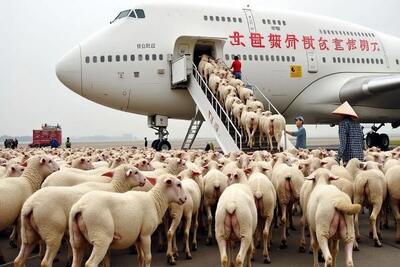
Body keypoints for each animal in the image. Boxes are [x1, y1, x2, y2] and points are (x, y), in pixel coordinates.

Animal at [13, 165, 147, 267]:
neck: (115, 188)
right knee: (46, 262)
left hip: (28, 233)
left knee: (19, 259)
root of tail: (30, 205)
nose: (145, 180)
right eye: (136, 172)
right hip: (52, 230)